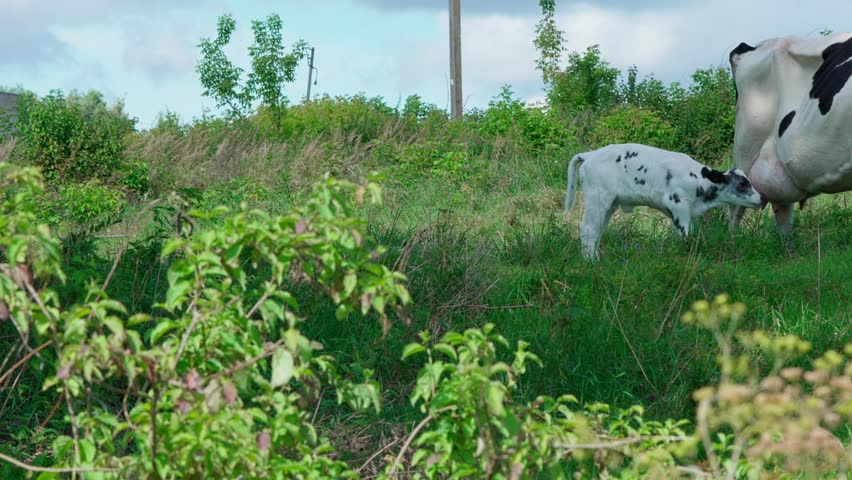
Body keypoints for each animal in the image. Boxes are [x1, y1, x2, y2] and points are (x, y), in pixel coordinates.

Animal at [564, 144, 763, 259]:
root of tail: (590, 155)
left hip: (609, 205)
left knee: (598, 230)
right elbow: (685, 236)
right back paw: (590, 261)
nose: (761, 198)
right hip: (597, 199)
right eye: (743, 183)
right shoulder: (679, 207)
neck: (698, 179)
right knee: (588, 229)